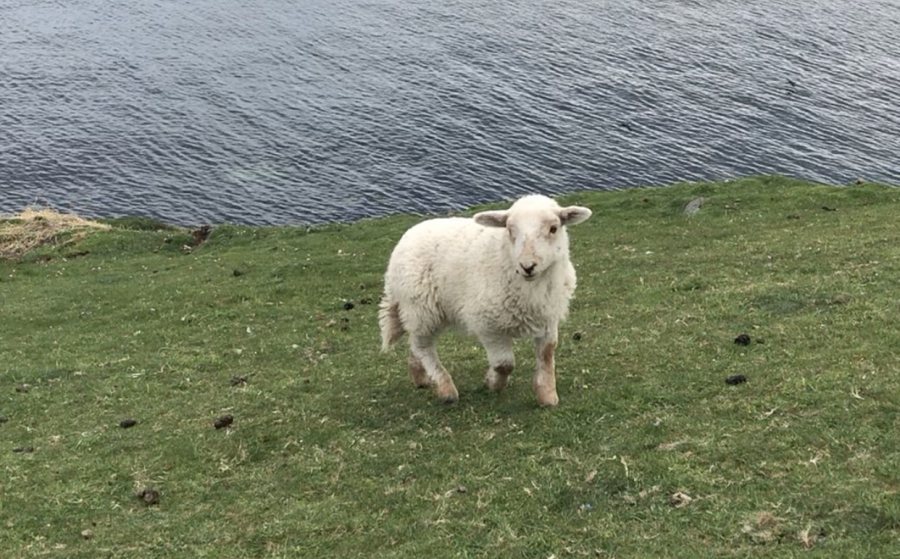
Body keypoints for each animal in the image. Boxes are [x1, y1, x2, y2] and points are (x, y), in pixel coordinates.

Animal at [378, 194, 592, 406]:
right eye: (509, 229)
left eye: (553, 228)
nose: (527, 266)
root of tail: (406, 237)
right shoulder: (489, 324)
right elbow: (504, 364)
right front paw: (492, 383)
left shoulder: (548, 316)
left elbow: (547, 354)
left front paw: (547, 395)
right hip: (421, 309)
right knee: (423, 347)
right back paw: (445, 387)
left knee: (415, 346)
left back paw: (420, 377)